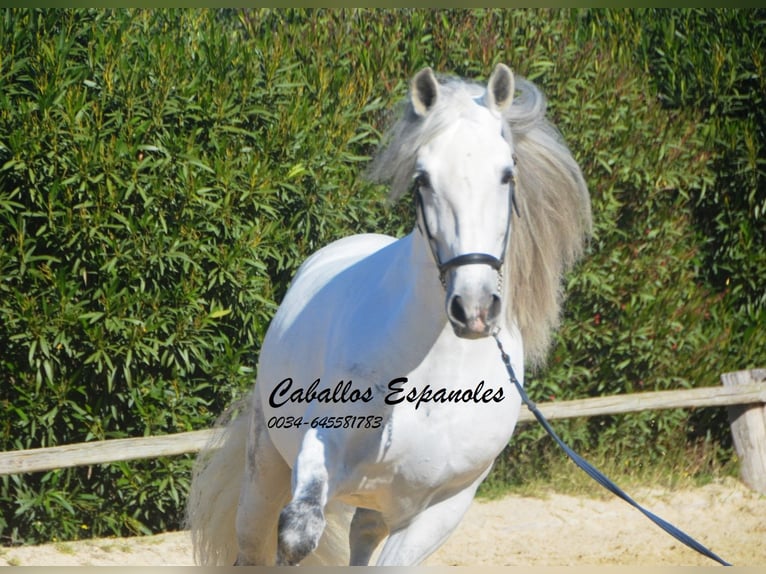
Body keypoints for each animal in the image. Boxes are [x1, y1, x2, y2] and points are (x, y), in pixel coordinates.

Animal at [186, 63, 592, 568]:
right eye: (423, 179)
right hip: (266, 465)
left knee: (361, 538)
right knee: (253, 545)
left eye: (506, 173)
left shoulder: (444, 506)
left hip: (377, 507)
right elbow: (297, 535)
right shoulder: (320, 451)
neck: (436, 378)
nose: (474, 309)